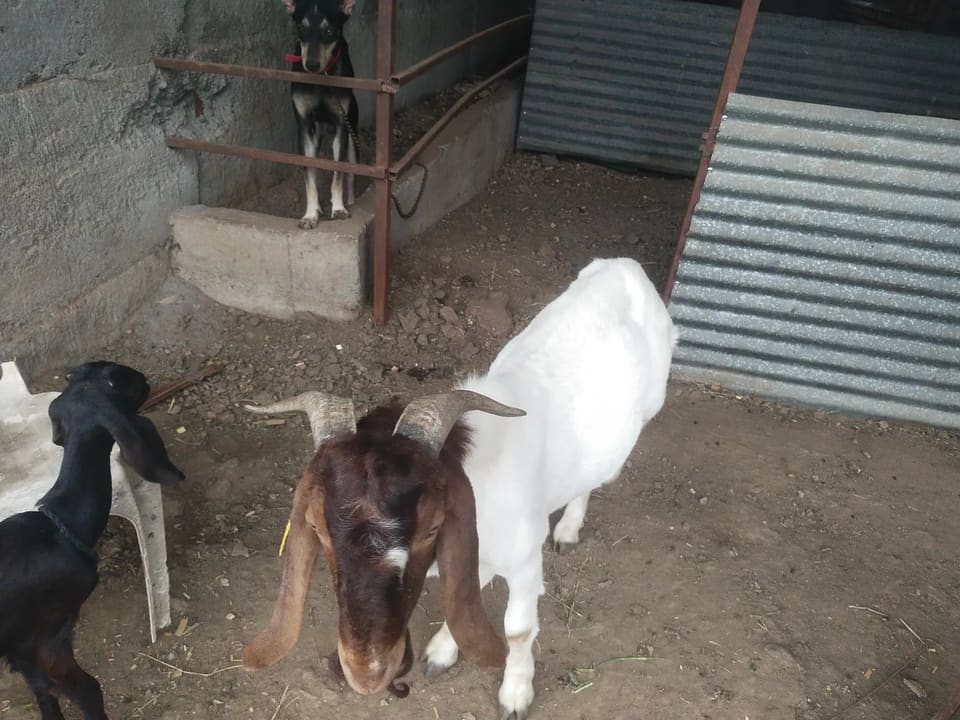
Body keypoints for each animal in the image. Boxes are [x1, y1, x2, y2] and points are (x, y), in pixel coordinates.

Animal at [0, 361, 184, 720]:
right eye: (123, 381)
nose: (145, 378)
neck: (59, 526)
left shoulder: (21, 649)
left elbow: (43, 692)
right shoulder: (48, 637)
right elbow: (87, 690)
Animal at [241, 257, 677, 719]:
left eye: (431, 527)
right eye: (318, 528)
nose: (367, 672)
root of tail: (623, 267)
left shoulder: (525, 559)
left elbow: (518, 629)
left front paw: (515, 694)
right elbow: (464, 586)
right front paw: (442, 653)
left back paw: (569, 529)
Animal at [284, 0, 359, 227]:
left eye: (329, 31)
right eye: (302, 28)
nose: (311, 64)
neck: (321, 78)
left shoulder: (342, 127)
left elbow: (338, 174)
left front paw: (339, 208)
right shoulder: (304, 126)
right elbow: (310, 176)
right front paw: (310, 214)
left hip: (352, 140)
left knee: (350, 173)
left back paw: (350, 201)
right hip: (315, 137)